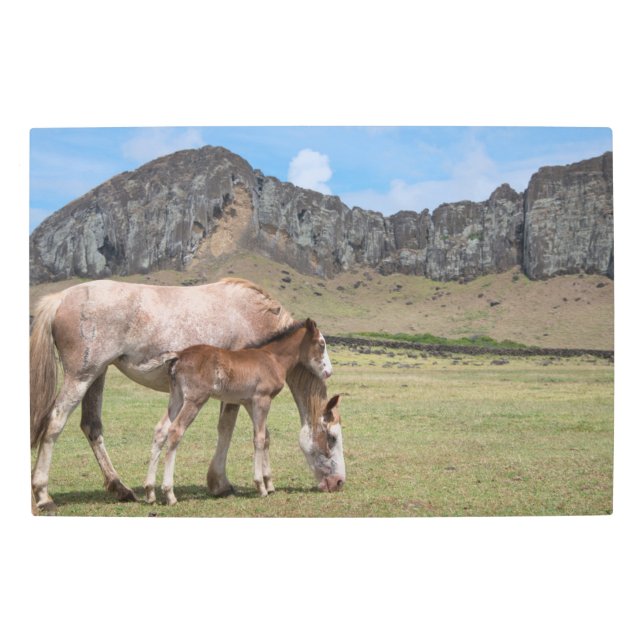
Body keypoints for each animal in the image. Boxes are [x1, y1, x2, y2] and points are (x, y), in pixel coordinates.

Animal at [143, 318, 343, 504]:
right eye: (322, 344)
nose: (329, 372)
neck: (272, 358)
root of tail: (179, 354)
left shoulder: (248, 402)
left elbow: (265, 436)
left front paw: (269, 483)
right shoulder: (262, 399)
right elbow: (259, 439)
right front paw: (260, 486)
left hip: (176, 397)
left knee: (160, 430)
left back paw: (150, 492)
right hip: (195, 399)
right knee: (175, 431)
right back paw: (169, 493)